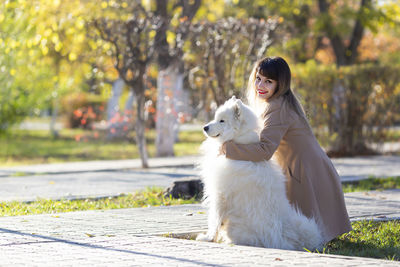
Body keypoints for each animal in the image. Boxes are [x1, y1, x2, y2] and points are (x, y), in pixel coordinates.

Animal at [195, 96, 324, 251]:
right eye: (215, 118)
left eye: (222, 121)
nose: (205, 127)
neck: (238, 142)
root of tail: (283, 235)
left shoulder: (220, 194)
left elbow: (214, 219)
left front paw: (207, 238)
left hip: (235, 225)